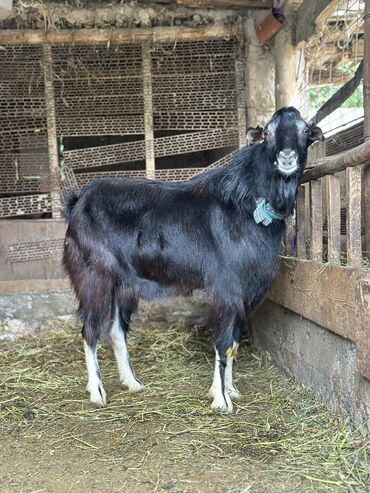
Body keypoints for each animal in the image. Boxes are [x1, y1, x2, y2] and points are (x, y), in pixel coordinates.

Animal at [63, 106, 324, 412]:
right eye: (268, 133)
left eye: (304, 131)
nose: (287, 157)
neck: (248, 202)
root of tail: (78, 201)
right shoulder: (227, 285)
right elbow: (224, 342)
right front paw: (221, 400)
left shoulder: (244, 291)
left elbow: (234, 341)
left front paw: (230, 390)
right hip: (93, 275)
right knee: (90, 330)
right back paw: (96, 392)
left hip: (123, 282)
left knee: (116, 329)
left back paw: (132, 383)